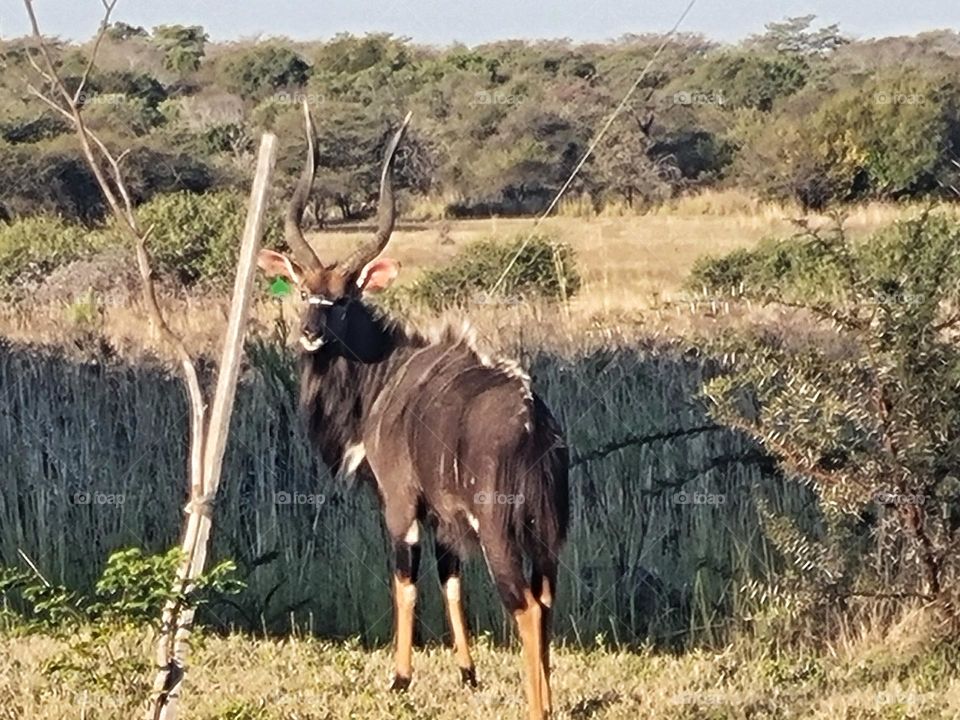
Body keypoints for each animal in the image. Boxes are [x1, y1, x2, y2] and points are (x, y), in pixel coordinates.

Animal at [256, 108, 568, 720]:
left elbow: (405, 580)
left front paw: (399, 678)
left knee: (525, 607)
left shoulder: (402, 503)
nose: (310, 333)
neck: (384, 375)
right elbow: (450, 580)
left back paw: (537, 707)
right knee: (545, 600)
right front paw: (467, 673)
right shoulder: (445, 518)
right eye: (303, 291)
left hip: (501, 534)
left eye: (344, 299)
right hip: (543, 538)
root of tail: (533, 420)